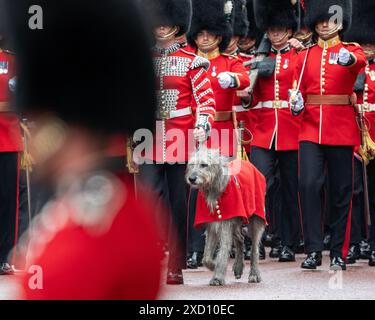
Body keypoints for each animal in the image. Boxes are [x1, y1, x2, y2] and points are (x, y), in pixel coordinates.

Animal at [187, 148, 264, 284]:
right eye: (192, 164)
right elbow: (206, 256)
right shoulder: (212, 226)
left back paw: (254, 274)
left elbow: (223, 250)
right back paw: (238, 267)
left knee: (254, 248)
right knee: (240, 239)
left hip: (255, 219)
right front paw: (213, 265)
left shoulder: (225, 224)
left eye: (204, 165)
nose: (191, 178)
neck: (216, 191)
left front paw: (217, 276)